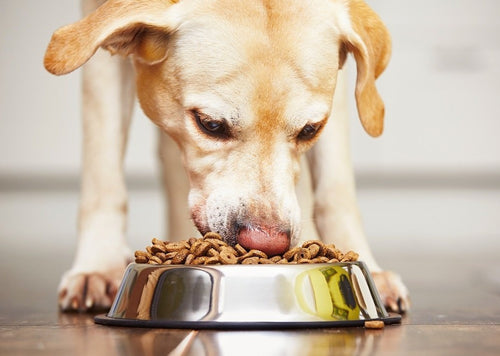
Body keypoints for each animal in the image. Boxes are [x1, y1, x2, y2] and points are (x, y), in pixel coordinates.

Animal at [44, 0, 410, 312]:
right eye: (210, 124)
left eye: (310, 130)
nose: (267, 243)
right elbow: (103, 171)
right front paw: (98, 266)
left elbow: (336, 189)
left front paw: (365, 267)